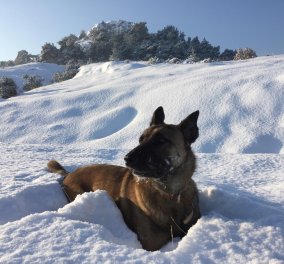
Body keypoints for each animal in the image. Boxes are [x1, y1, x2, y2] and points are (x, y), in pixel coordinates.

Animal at [47, 106, 201, 251]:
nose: (127, 158)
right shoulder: (151, 245)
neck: (170, 195)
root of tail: (69, 173)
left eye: (161, 140)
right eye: (140, 139)